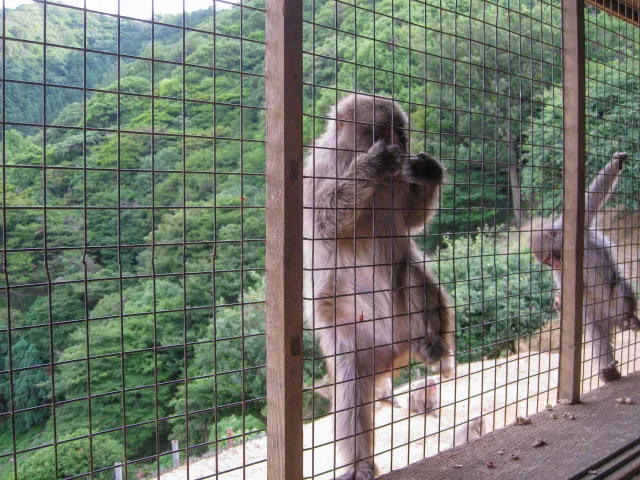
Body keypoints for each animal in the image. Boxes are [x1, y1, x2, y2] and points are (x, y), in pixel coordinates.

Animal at [302, 92, 452, 478]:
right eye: (385, 131)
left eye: (402, 130)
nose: (402, 143)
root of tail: (394, 351)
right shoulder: (317, 170)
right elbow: (323, 222)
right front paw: (371, 165)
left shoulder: (398, 180)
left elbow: (412, 220)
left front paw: (428, 171)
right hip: (350, 338)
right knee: (351, 392)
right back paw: (359, 464)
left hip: (404, 322)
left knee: (408, 273)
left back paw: (432, 342)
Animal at [528, 152, 640, 384]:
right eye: (547, 262)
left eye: (551, 257)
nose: (556, 264)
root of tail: (612, 320)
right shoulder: (562, 269)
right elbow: (568, 287)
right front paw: (559, 301)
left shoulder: (576, 226)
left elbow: (592, 199)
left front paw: (616, 164)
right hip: (594, 312)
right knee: (595, 330)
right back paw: (610, 372)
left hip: (614, 303)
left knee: (619, 287)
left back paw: (630, 321)